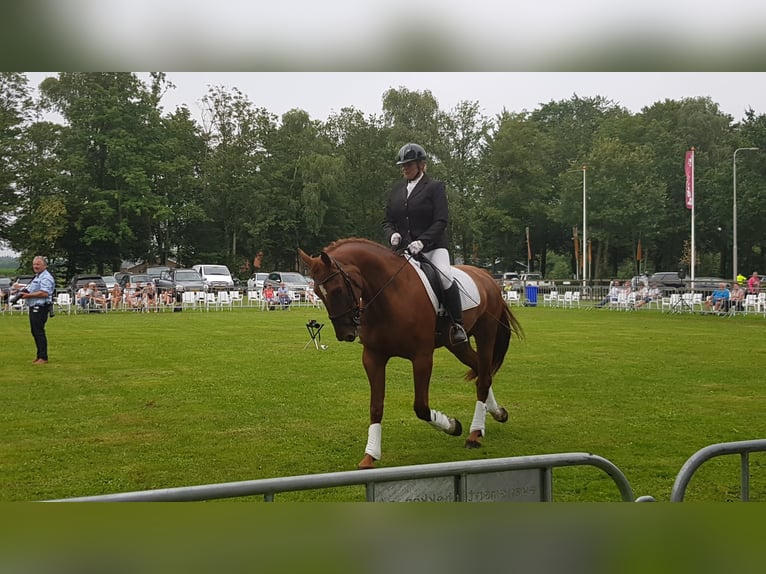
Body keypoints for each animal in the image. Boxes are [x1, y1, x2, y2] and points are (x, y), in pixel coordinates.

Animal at [298, 238, 520, 468]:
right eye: (317, 292)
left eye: (337, 290)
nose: (345, 334)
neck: (390, 295)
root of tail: (486, 276)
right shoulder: (373, 357)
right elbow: (376, 406)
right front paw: (370, 456)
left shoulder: (422, 358)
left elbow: (421, 407)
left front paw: (452, 425)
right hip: (457, 345)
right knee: (481, 371)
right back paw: (497, 413)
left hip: (485, 335)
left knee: (483, 378)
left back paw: (474, 434)